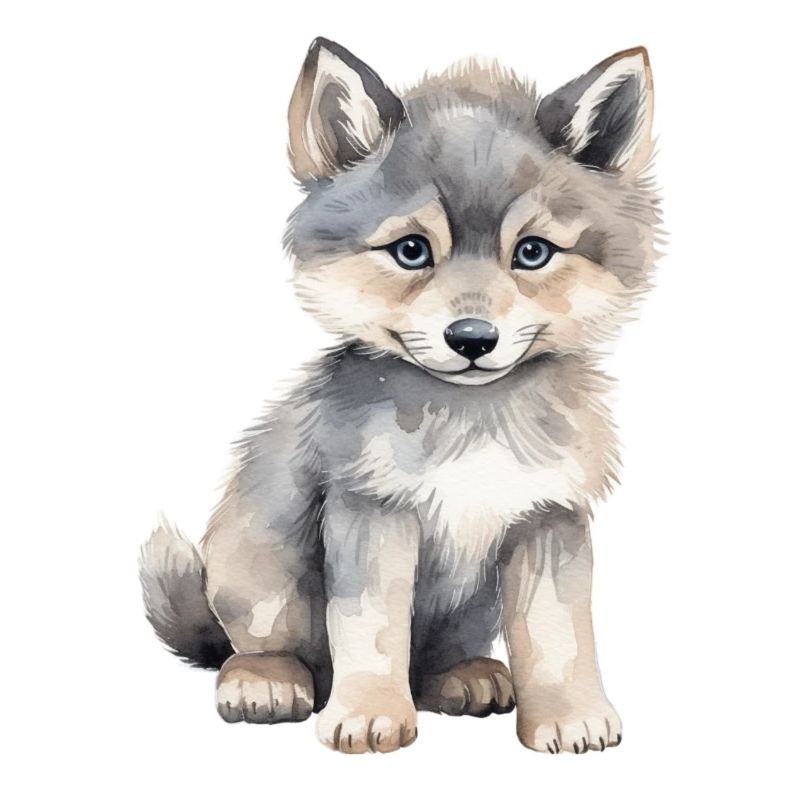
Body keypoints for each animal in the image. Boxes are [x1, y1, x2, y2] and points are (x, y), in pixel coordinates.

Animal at [140, 37, 659, 754]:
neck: (473, 421)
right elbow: (372, 629)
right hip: (260, 569)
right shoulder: (371, 511)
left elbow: (558, 635)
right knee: (252, 646)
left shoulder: (548, 516)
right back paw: (266, 681)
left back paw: (465, 677)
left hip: (472, 607)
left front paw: (567, 717)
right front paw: (369, 715)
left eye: (532, 253)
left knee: (434, 659)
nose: (472, 338)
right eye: (412, 251)